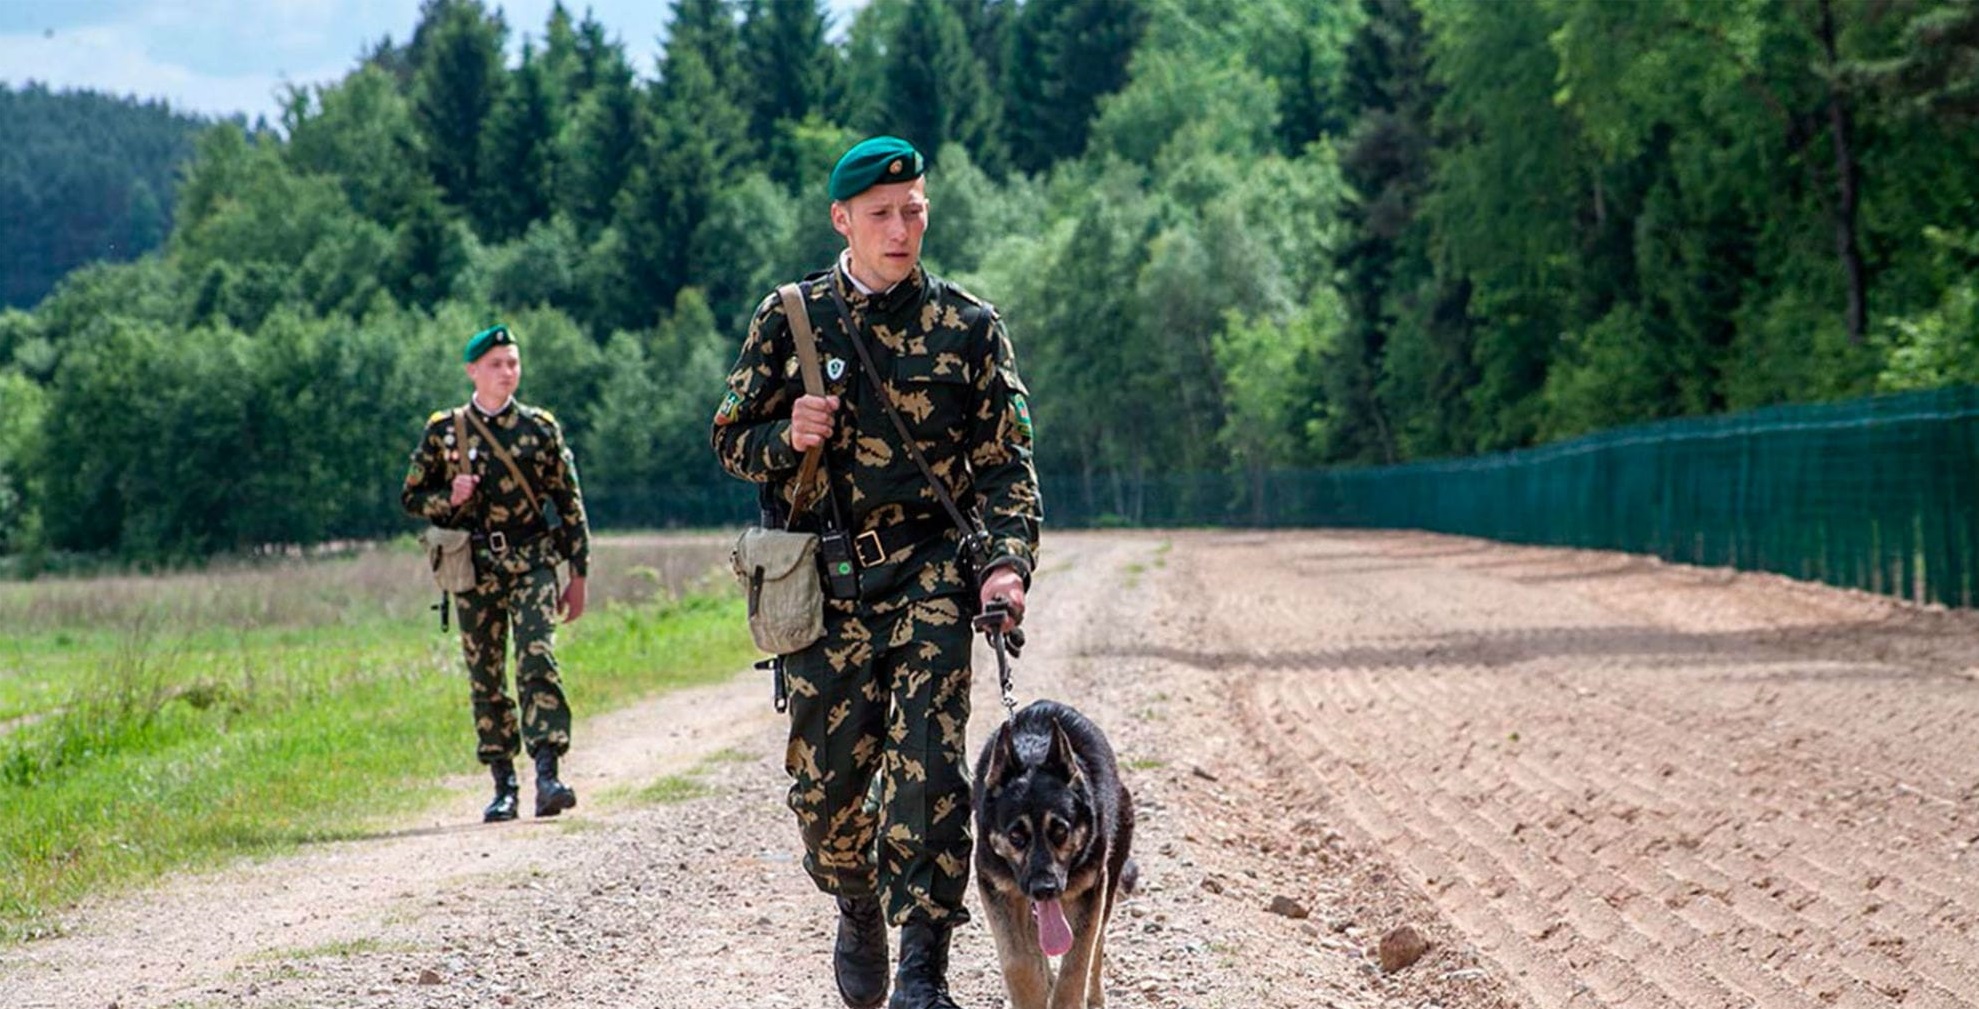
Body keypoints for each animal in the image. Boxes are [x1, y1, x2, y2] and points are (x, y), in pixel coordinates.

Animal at [969, 700, 1131, 1009]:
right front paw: (1035, 992)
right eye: (1016, 837)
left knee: (1098, 942)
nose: (1045, 889)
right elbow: (1018, 962)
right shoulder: (996, 888)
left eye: (1060, 831)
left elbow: (1077, 963)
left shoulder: (1091, 890)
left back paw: (1094, 995)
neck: (1033, 756)